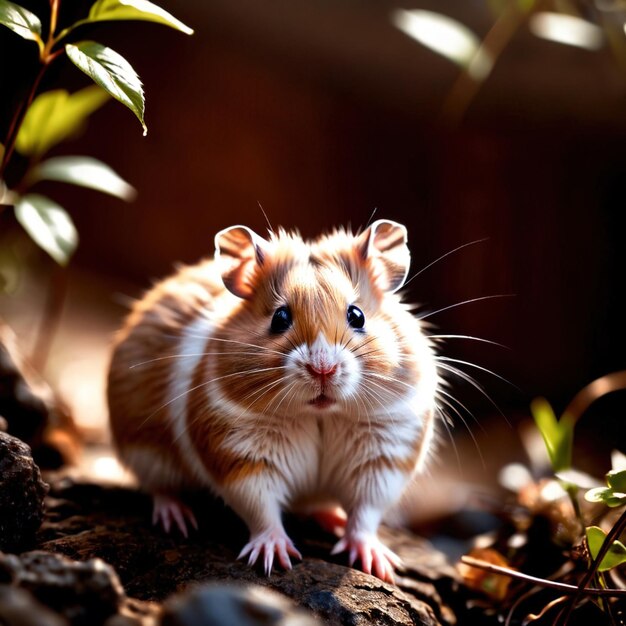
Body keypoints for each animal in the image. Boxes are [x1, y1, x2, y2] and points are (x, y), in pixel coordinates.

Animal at [106, 219, 438, 580]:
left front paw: (378, 563)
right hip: (145, 451)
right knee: (159, 487)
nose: (323, 369)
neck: (319, 414)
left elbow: (367, 511)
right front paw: (274, 557)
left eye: (357, 315)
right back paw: (176, 519)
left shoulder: (384, 456)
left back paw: (333, 518)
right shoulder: (241, 456)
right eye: (279, 318)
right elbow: (260, 507)